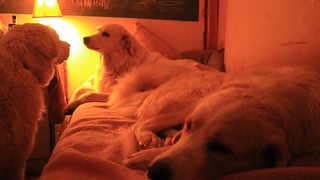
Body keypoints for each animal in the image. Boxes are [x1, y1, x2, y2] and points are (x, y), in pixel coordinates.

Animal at [125, 66, 320, 180]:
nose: (155, 172)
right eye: (190, 125)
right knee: (141, 123)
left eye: (221, 148)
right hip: (194, 98)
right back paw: (149, 137)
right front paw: (145, 156)